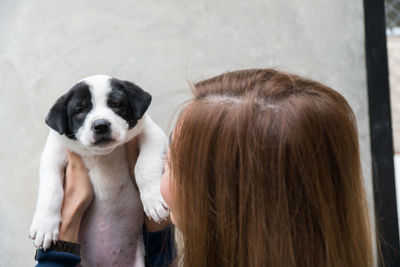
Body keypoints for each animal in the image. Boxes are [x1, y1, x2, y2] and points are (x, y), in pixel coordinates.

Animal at [28, 74, 169, 266]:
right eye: (80, 110)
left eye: (116, 103)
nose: (101, 125)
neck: (103, 154)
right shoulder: (53, 154)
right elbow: (51, 189)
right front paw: (45, 225)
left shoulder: (151, 133)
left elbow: (144, 166)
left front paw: (153, 200)